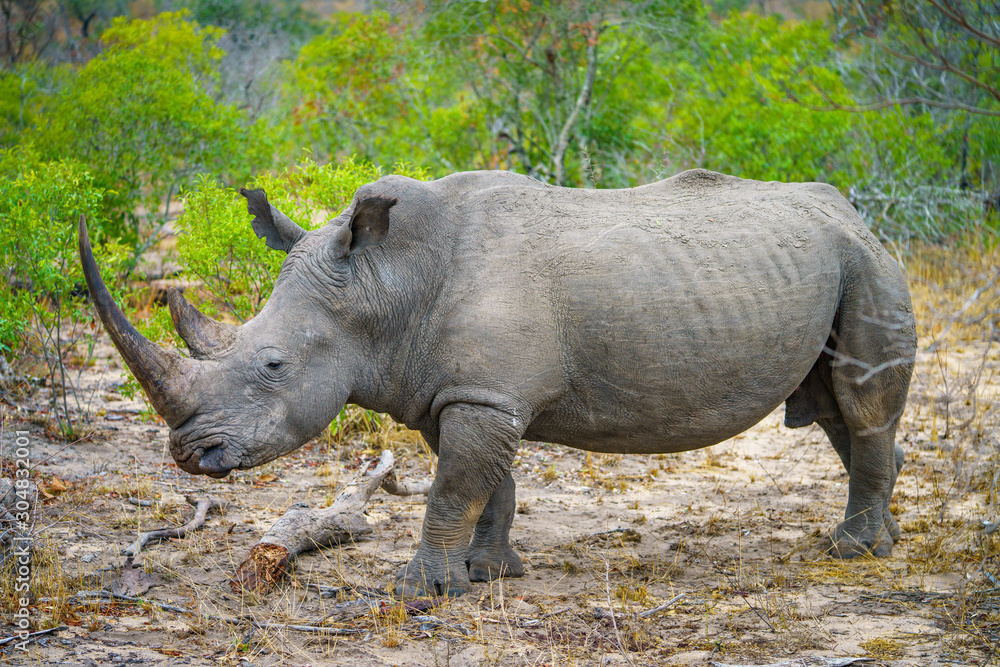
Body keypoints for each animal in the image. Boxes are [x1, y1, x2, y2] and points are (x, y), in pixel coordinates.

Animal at [79, 169, 916, 597]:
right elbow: (490, 485)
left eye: (273, 364)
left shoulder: (483, 397)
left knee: (860, 404)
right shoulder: (461, 391)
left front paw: (421, 591)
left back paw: (854, 552)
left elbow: (454, 489)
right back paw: (886, 536)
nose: (189, 454)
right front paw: (489, 572)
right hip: (836, 261)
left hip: (868, 262)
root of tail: (854, 207)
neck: (385, 287)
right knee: (836, 409)